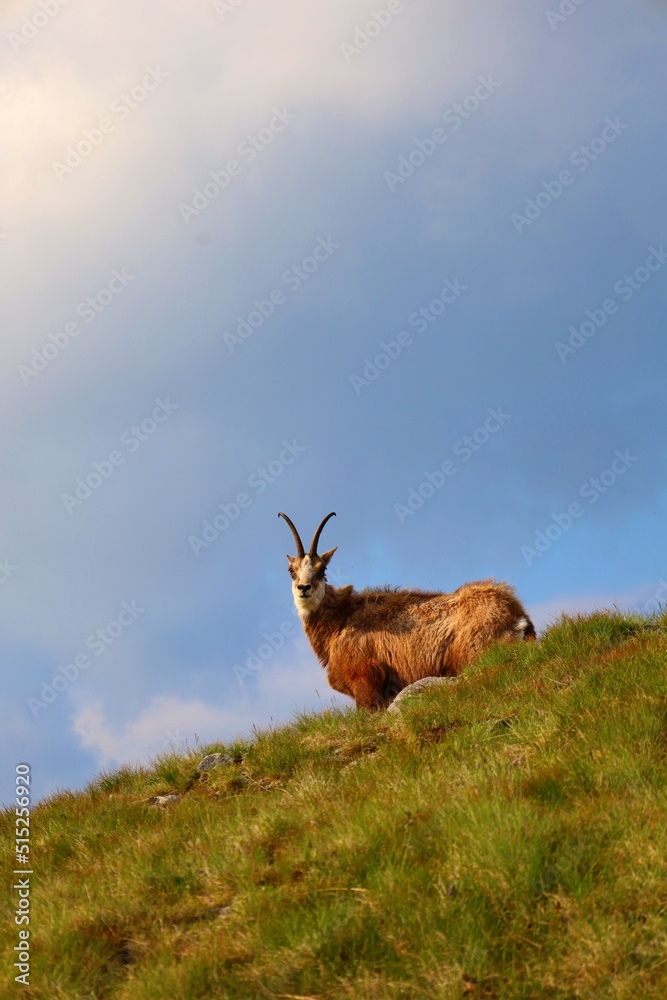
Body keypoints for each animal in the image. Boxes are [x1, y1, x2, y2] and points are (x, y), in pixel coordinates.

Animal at [278, 511, 535, 710]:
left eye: (322, 570)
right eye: (291, 570)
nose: (304, 588)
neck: (341, 620)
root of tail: (518, 618)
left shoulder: (366, 680)